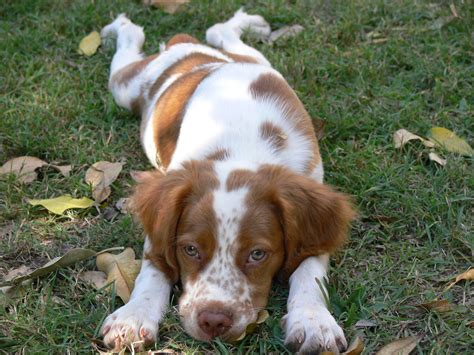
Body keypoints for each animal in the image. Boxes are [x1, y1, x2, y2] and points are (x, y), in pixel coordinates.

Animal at [101, 9, 356, 354]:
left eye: (257, 254)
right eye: (191, 249)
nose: (213, 321)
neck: (241, 150)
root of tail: (192, 52)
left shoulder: (313, 218)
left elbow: (309, 271)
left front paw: (313, 321)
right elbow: (153, 268)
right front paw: (133, 316)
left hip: (257, 60)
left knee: (222, 32)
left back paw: (248, 22)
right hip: (125, 88)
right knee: (130, 49)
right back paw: (121, 27)